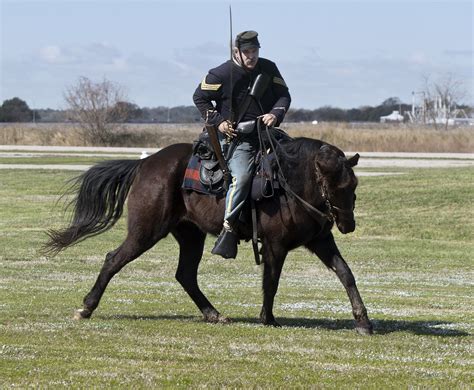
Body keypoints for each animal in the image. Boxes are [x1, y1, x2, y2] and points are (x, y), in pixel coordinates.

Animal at [47, 137, 374, 336]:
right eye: (333, 186)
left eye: (353, 186)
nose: (347, 224)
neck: (288, 185)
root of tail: (145, 163)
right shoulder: (275, 246)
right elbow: (271, 282)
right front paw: (267, 318)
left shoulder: (320, 241)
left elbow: (346, 274)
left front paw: (363, 321)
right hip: (145, 232)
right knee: (113, 259)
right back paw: (86, 307)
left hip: (191, 235)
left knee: (185, 275)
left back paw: (213, 314)